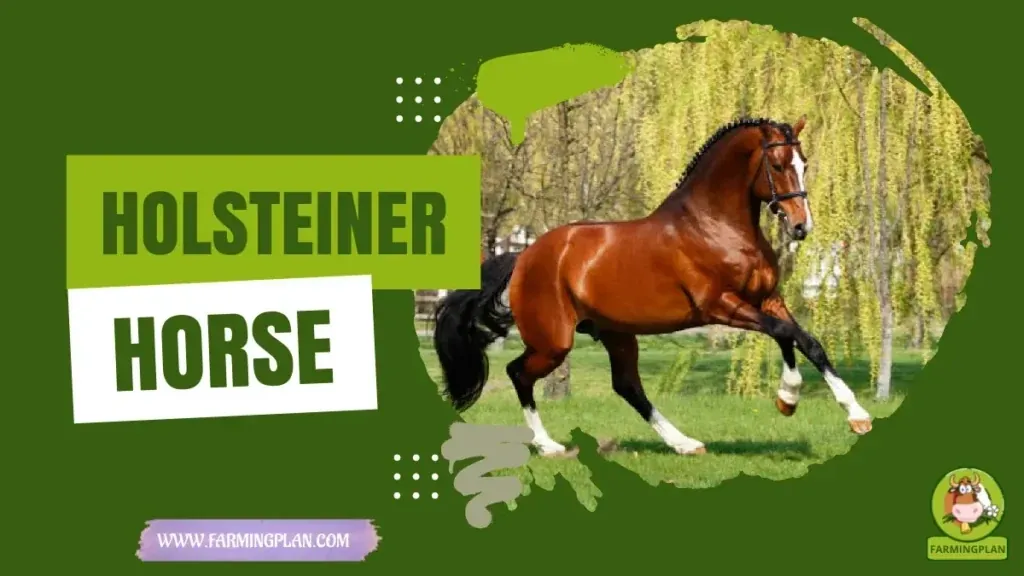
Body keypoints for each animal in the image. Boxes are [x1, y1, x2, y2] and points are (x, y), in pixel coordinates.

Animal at [433, 116, 873, 457]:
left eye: (804, 163)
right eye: (779, 164)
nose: (801, 227)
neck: (715, 226)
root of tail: (525, 256)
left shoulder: (767, 299)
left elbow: (806, 341)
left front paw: (847, 414)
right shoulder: (722, 305)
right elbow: (785, 334)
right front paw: (794, 399)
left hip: (615, 333)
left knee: (627, 387)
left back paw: (684, 443)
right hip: (554, 341)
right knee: (518, 373)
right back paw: (549, 446)